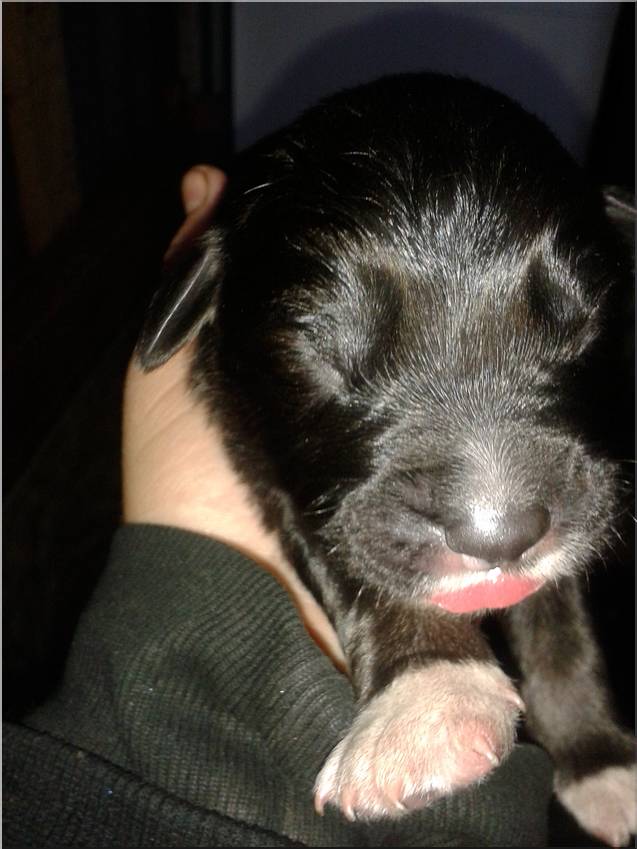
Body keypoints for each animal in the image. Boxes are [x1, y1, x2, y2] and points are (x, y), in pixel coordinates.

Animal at [137, 74, 635, 846]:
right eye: (324, 347)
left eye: (583, 320)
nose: (499, 536)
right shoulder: (271, 451)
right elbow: (349, 551)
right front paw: (430, 694)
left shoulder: (580, 473)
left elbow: (560, 618)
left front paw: (598, 762)